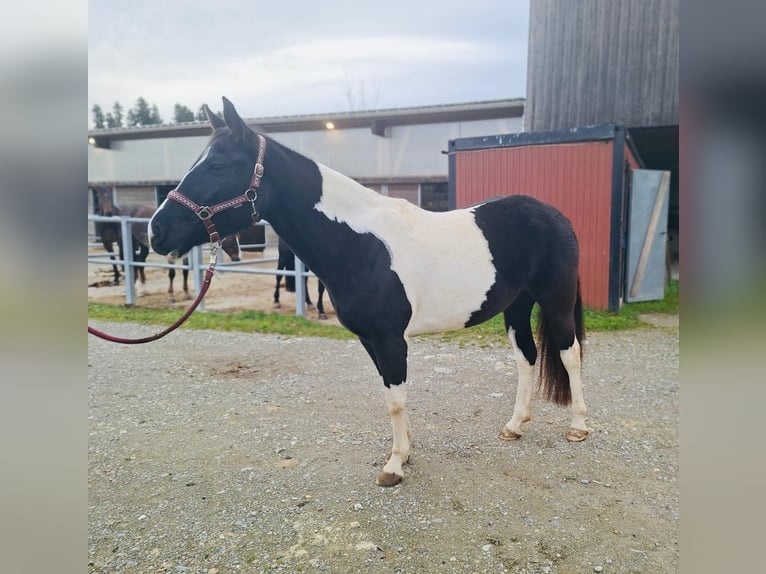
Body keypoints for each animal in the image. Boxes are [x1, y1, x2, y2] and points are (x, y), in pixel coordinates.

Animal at [149, 97, 587, 487]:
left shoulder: (390, 338)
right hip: (517, 306)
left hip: (556, 300)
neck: (362, 243)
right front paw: (404, 452)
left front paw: (394, 466)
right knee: (526, 357)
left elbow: (396, 398)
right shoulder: (370, 339)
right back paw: (514, 425)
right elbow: (391, 393)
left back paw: (579, 426)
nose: (156, 231)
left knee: (570, 354)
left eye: (217, 165)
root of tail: (555, 215)